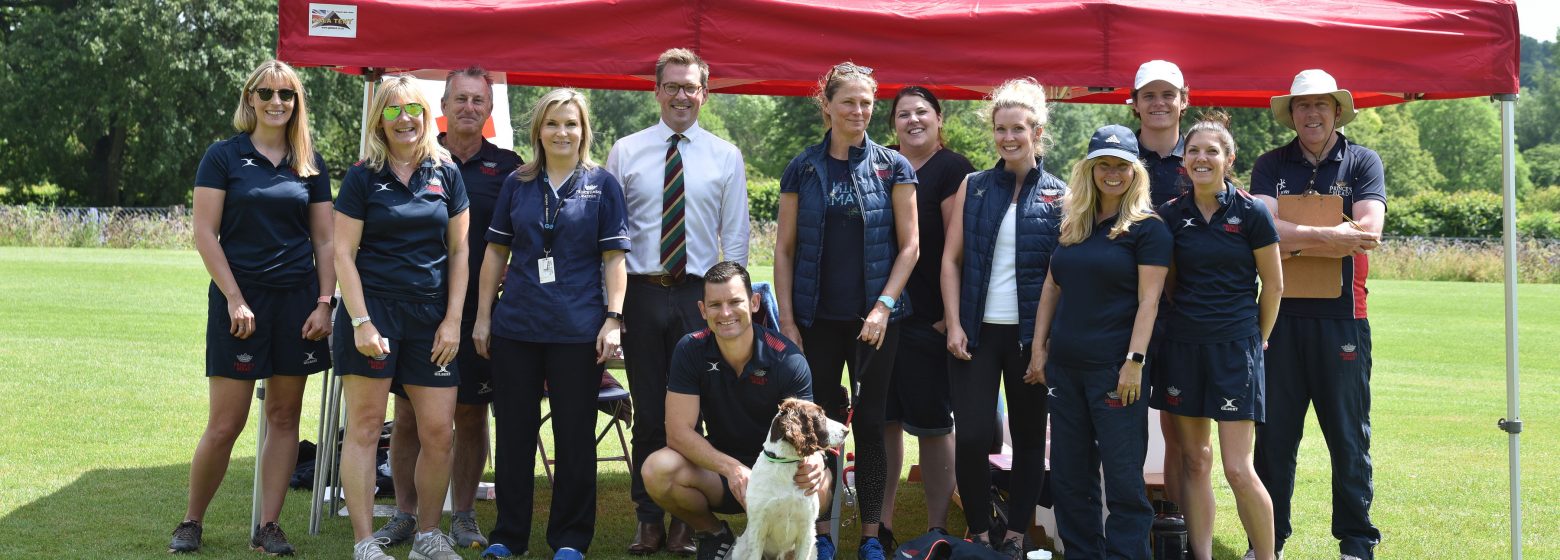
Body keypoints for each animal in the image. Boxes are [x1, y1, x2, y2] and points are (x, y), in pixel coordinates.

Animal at [733, 399, 854, 560]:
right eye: (819, 416)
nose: (846, 430)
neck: (786, 464)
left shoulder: (807, 528)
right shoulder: (758, 526)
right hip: (741, 548)